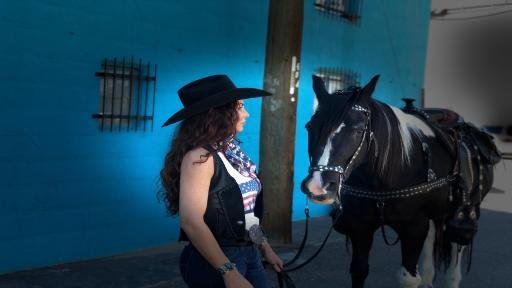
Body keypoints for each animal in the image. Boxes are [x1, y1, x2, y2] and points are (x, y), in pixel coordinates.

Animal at [302, 75, 498, 286]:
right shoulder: (361, 226)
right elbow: (359, 270)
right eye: (309, 126)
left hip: (459, 217)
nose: (317, 186)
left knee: (455, 255)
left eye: (358, 130)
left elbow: (408, 278)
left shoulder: (414, 229)